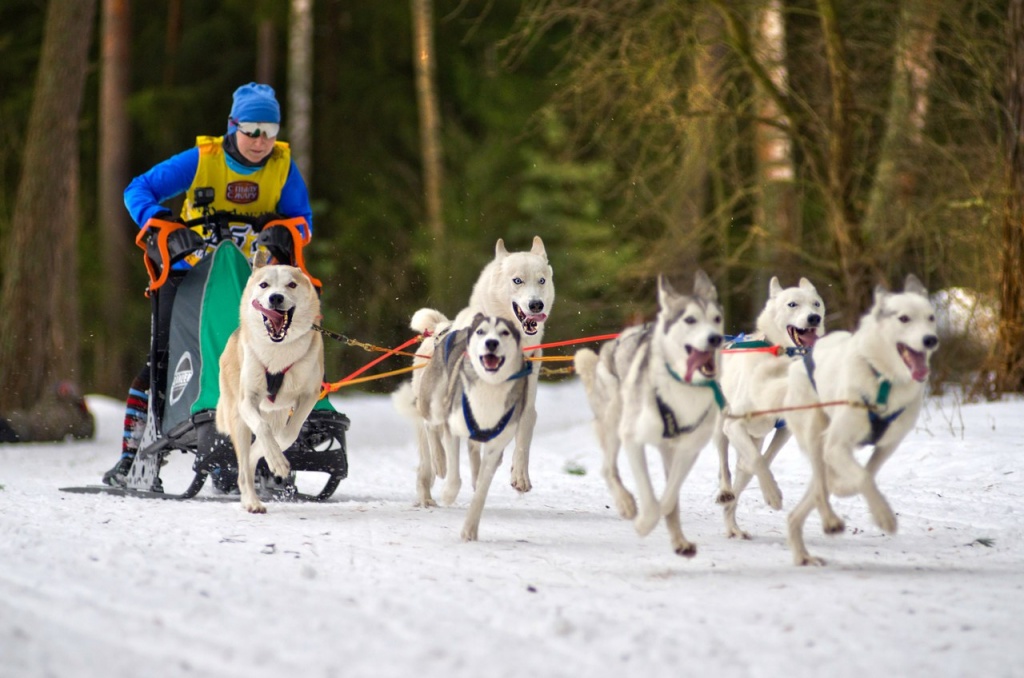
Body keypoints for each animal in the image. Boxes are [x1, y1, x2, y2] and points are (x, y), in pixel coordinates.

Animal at [216, 258, 323, 512]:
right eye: (264, 285)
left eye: (291, 284)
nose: (275, 297)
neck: (278, 353)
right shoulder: (248, 400)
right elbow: (262, 429)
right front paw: (276, 460)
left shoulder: (309, 395)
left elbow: (288, 434)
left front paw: (276, 459)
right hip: (238, 419)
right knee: (243, 471)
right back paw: (251, 501)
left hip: (277, 413)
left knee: (255, 453)